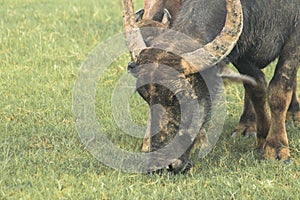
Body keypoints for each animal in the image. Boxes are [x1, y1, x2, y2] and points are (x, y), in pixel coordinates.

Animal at [121, 0, 298, 173]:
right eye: (144, 95)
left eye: (183, 94)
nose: (161, 166)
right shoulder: (241, 47)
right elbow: (256, 86)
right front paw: (262, 138)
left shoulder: (294, 36)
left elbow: (279, 91)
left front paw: (276, 149)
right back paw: (247, 127)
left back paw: (293, 115)